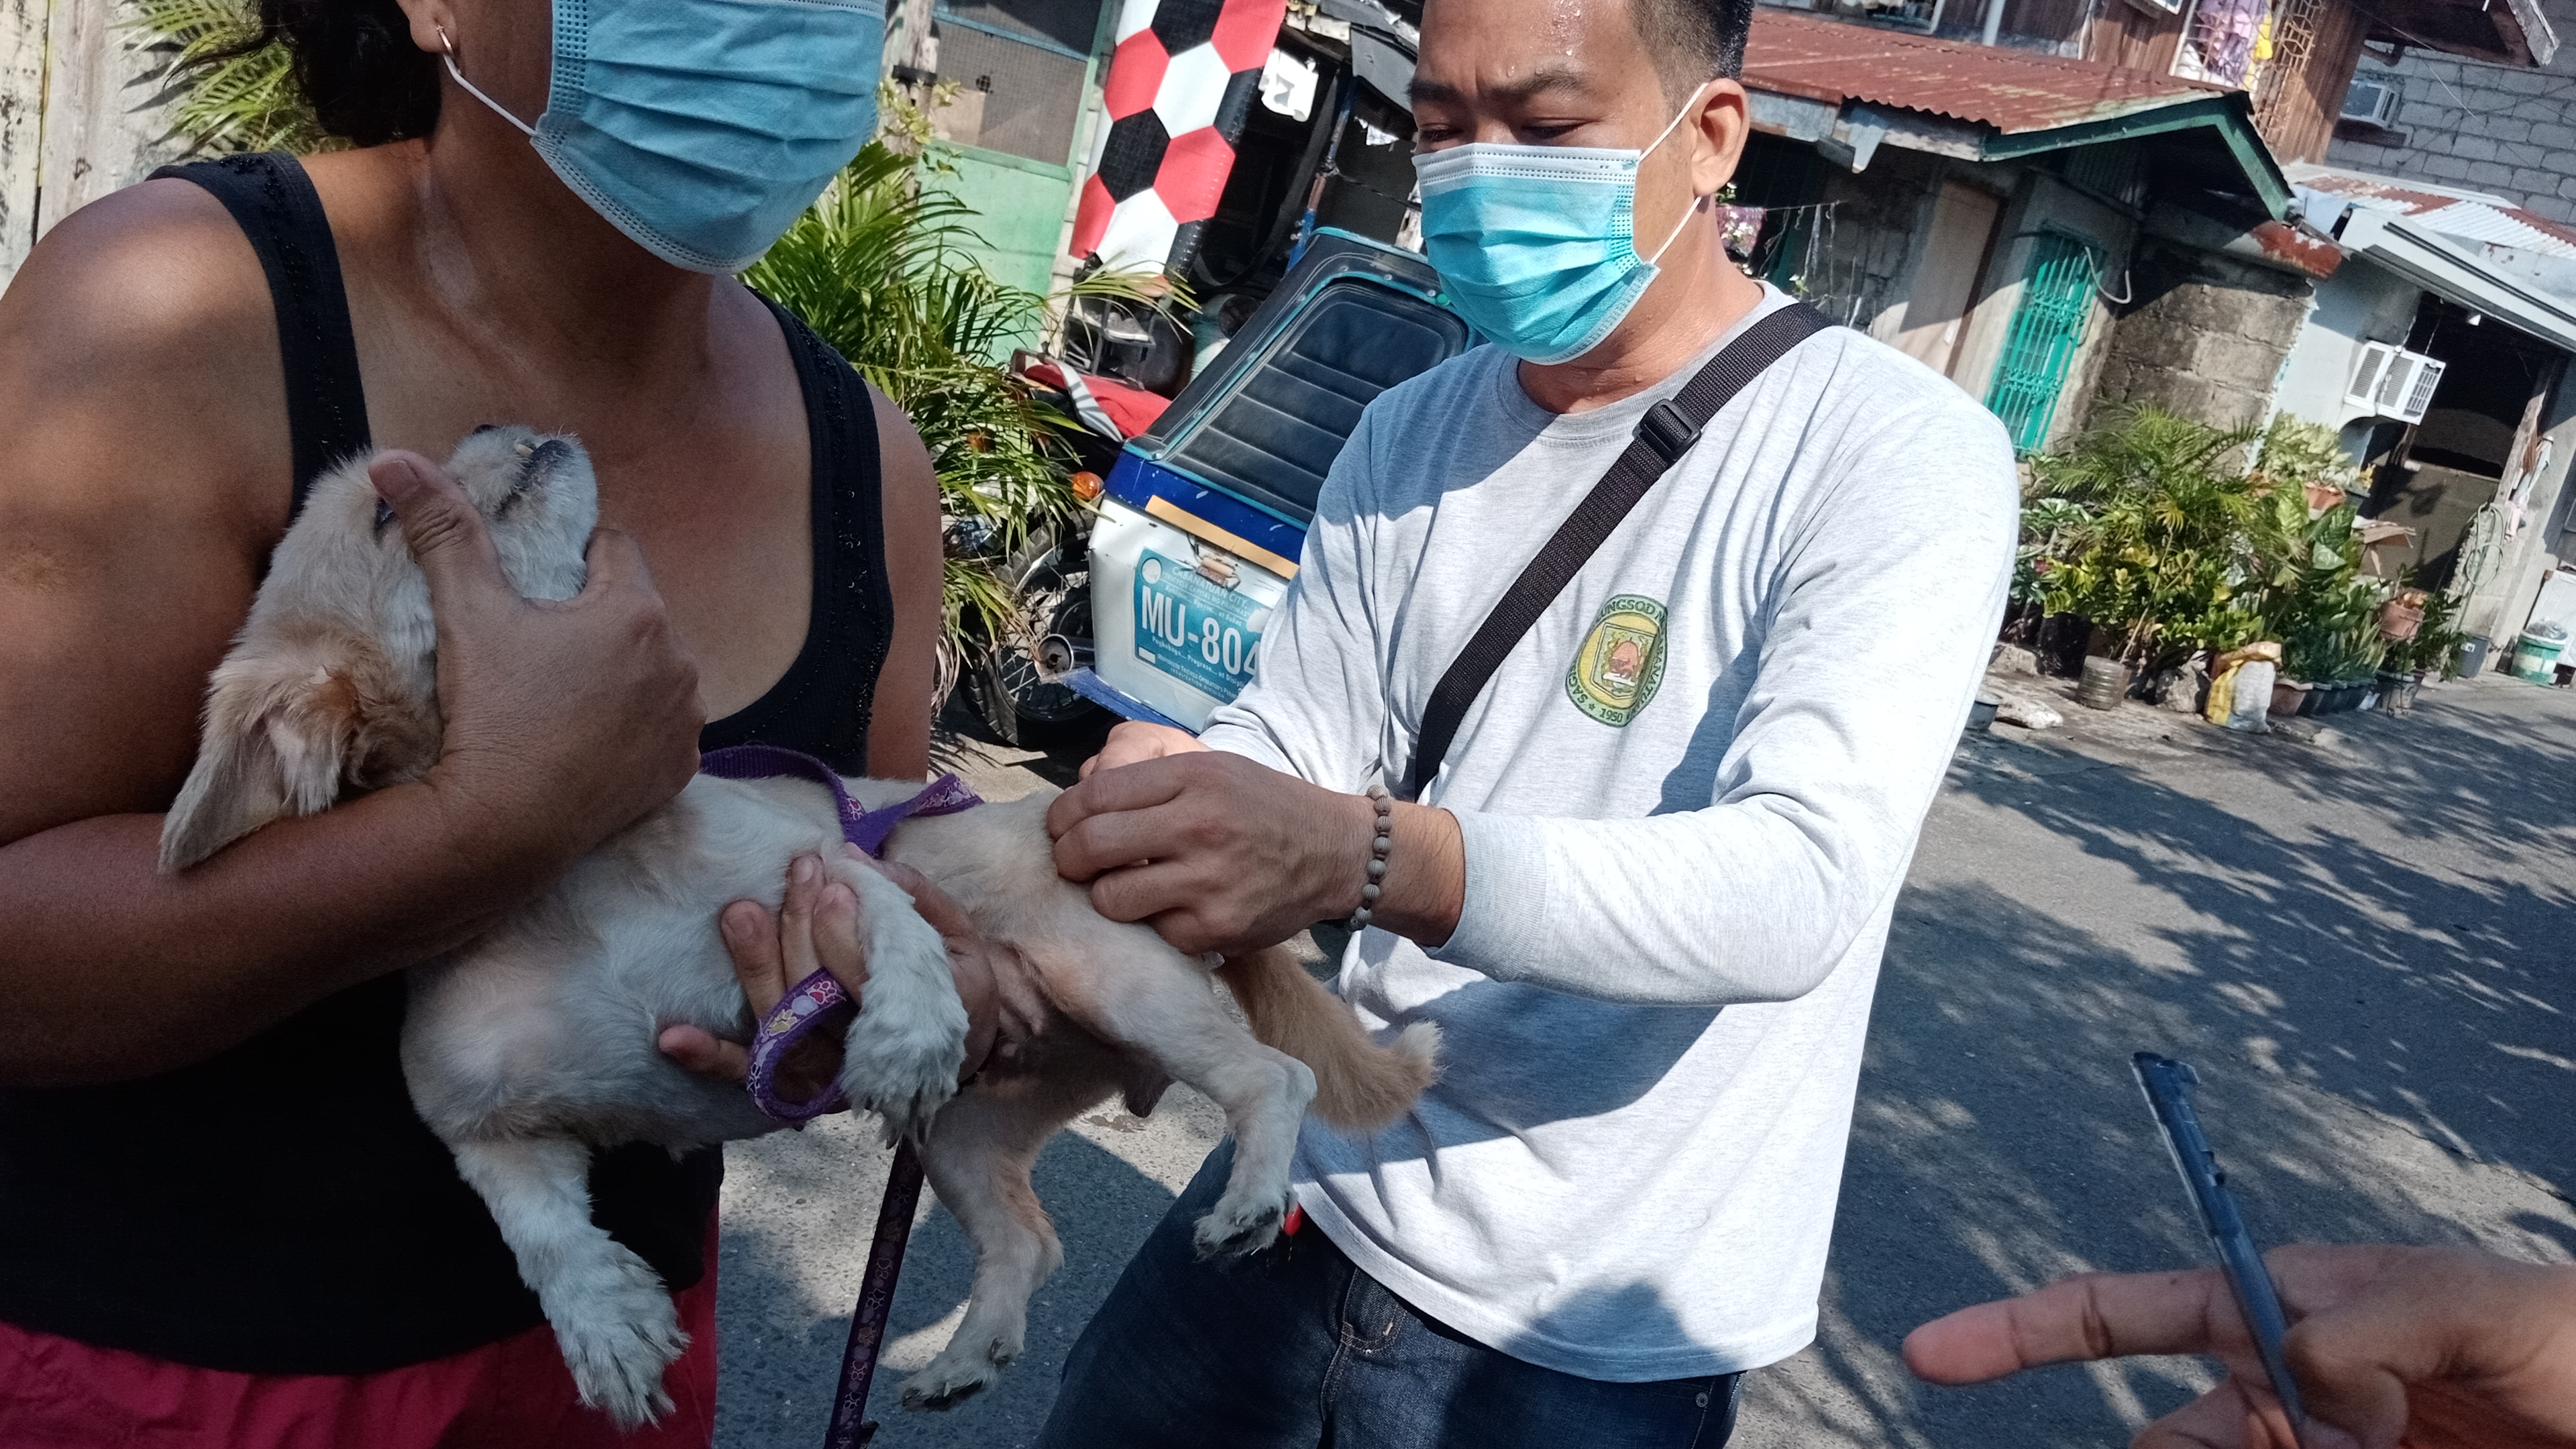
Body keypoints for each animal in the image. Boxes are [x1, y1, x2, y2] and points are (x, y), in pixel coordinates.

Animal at [158, 425, 1442, 1423]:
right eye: (390, 511)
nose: (493, 416)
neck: (571, 881)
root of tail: (1066, 818)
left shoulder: (820, 862)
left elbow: (881, 909)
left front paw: (904, 1033)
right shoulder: (484, 1126)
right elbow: (543, 1234)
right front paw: (607, 1329)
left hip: (1120, 986)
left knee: (1275, 1078)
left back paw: (1245, 1199)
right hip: (969, 1135)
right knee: (1030, 1241)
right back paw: (967, 1357)